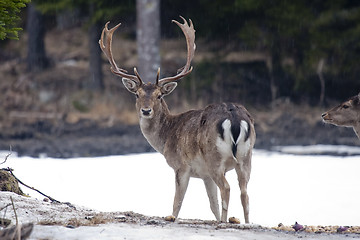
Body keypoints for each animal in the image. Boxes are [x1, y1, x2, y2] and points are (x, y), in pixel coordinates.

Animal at [98, 16, 256, 223]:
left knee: (227, 188)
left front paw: (171, 217)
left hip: (215, 157)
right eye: (137, 94)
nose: (146, 110)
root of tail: (234, 118)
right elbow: (212, 205)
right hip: (246, 157)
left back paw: (225, 221)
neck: (166, 137)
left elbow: (177, 203)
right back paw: (246, 222)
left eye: (159, 96)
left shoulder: (181, 166)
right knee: (245, 193)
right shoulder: (204, 175)